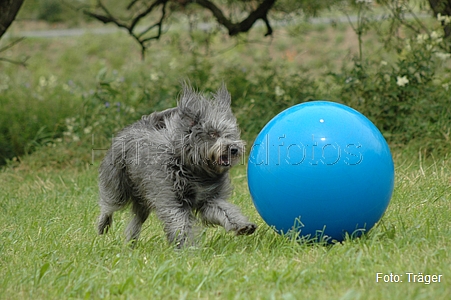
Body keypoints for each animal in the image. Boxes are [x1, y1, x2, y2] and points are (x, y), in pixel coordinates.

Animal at [97, 84, 256, 246]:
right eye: (213, 134)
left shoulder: (209, 200)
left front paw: (241, 225)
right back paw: (103, 224)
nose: (234, 148)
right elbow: (180, 223)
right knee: (109, 204)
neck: (193, 170)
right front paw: (186, 245)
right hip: (118, 185)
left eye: (229, 134)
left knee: (136, 220)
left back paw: (130, 243)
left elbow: (225, 211)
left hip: (142, 197)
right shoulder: (171, 200)